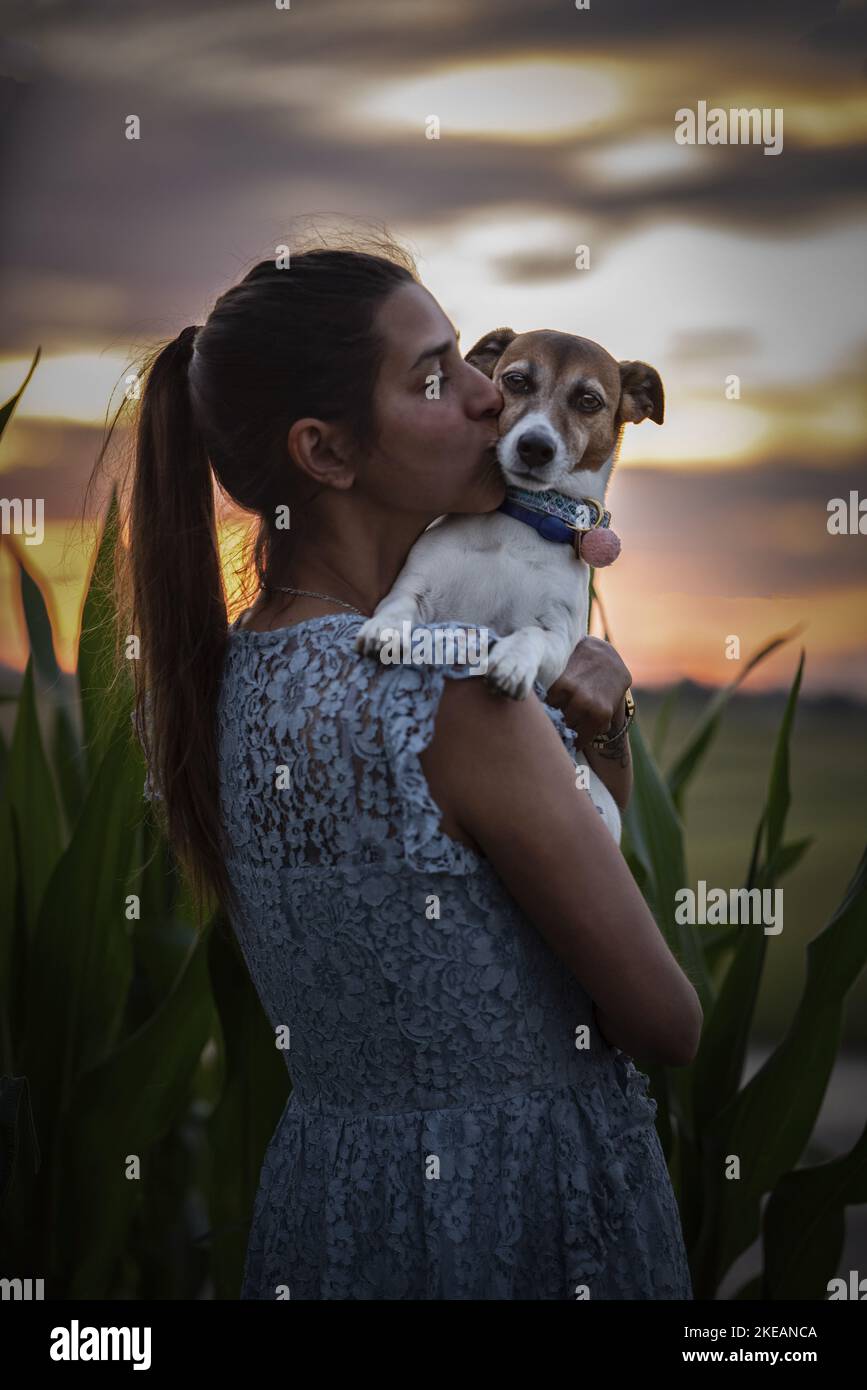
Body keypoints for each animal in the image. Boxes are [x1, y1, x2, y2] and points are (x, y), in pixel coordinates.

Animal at [352, 330, 664, 839]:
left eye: (588, 400)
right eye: (516, 380)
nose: (535, 446)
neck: (522, 521)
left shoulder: (559, 640)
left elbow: (531, 637)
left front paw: (512, 661)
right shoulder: (416, 585)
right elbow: (398, 605)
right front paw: (385, 630)